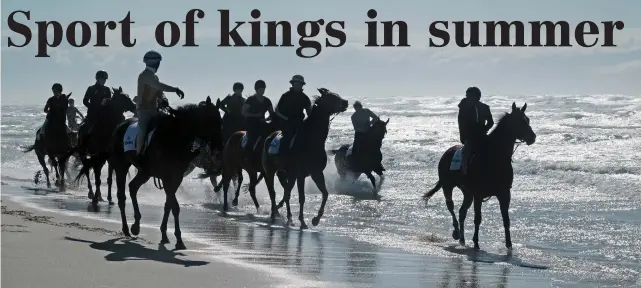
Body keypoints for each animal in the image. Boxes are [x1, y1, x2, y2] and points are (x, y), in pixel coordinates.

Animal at [74, 97, 222, 250]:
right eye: (213, 121)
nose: (219, 147)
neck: (174, 137)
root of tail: (117, 128)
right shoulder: (167, 178)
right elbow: (174, 206)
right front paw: (179, 239)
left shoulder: (176, 178)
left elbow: (169, 205)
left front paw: (165, 235)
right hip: (121, 165)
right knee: (121, 196)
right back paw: (126, 228)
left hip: (145, 172)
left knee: (133, 187)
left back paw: (136, 225)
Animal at [262, 89, 348, 228]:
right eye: (331, 97)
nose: (345, 102)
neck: (311, 141)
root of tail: (270, 136)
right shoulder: (300, 175)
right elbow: (301, 197)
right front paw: (302, 221)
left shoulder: (316, 173)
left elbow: (325, 194)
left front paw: (316, 219)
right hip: (270, 171)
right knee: (272, 192)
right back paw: (274, 215)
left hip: (285, 174)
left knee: (286, 192)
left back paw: (288, 217)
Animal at [420, 103, 536, 250]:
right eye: (520, 121)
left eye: (528, 120)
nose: (533, 137)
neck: (495, 157)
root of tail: (447, 153)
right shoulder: (479, 195)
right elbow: (478, 219)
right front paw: (475, 242)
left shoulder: (504, 194)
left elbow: (506, 219)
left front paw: (509, 244)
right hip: (448, 186)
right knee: (451, 207)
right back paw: (456, 232)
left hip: (467, 193)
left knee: (462, 212)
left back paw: (462, 239)